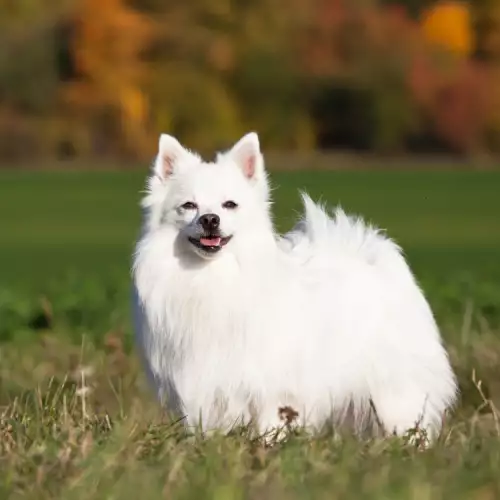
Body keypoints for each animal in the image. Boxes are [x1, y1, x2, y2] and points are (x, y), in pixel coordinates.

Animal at [132, 131, 458, 444]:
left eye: (230, 205)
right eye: (188, 206)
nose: (210, 219)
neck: (212, 277)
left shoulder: (272, 391)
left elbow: (270, 430)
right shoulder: (202, 388)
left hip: (393, 392)